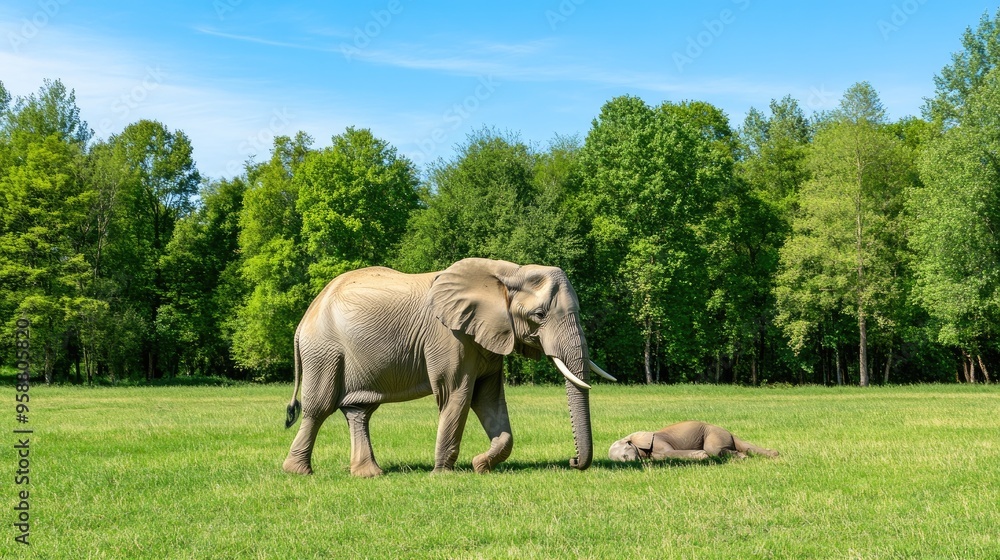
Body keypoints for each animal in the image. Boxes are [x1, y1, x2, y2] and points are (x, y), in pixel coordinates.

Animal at [281, 258, 616, 477]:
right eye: (539, 315)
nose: (572, 462)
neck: (506, 273)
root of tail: (304, 319)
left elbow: (489, 399)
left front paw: (480, 465)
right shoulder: (448, 336)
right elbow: (457, 394)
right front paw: (443, 474)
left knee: (359, 411)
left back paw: (369, 474)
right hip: (324, 351)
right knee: (319, 408)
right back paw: (298, 472)